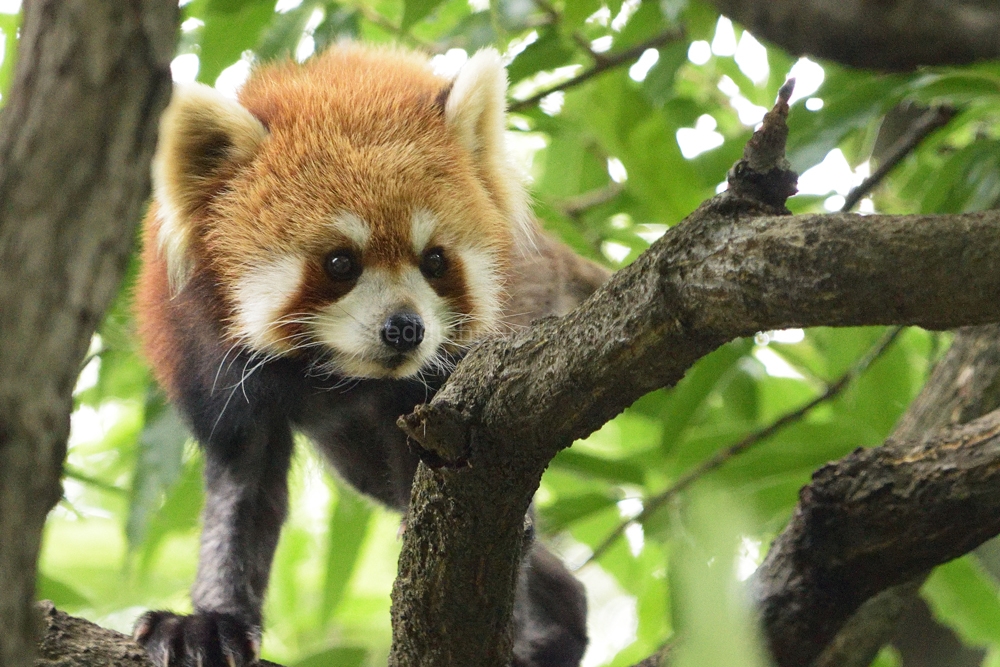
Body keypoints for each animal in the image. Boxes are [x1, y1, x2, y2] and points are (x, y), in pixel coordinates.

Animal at [130, 44, 604, 667]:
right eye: (340, 262)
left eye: (435, 260)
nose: (405, 329)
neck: (333, 372)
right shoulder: (207, 359)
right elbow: (243, 491)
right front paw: (212, 620)